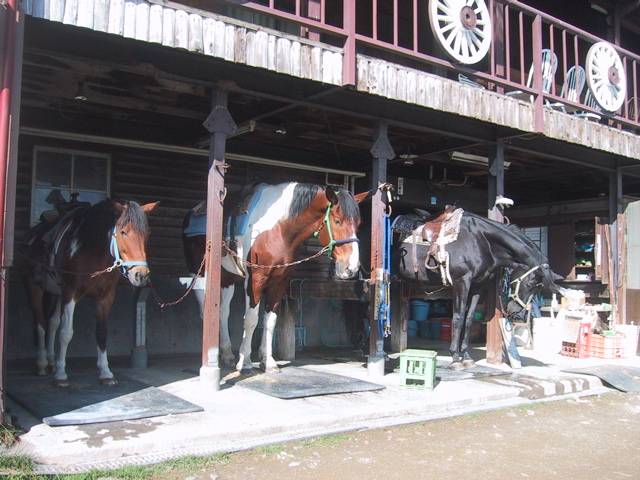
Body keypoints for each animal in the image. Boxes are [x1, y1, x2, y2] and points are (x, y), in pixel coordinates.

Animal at [22, 198, 159, 386]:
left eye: (147, 234)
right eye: (123, 232)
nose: (141, 274)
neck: (90, 249)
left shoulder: (105, 296)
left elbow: (101, 332)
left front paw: (106, 373)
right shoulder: (70, 293)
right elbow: (65, 333)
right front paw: (61, 375)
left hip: (56, 293)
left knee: (52, 323)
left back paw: (51, 362)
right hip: (34, 288)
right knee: (41, 324)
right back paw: (42, 364)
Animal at [182, 182, 368, 374]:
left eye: (358, 224)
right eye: (337, 221)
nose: (351, 267)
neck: (278, 228)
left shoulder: (279, 281)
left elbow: (270, 321)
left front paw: (268, 361)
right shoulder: (255, 280)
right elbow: (251, 320)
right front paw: (245, 362)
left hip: (227, 278)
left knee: (223, 312)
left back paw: (226, 354)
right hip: (198, 274)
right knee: (205, 312)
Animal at [398, 207, 564, 372]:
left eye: (539, 289)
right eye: (530, 284)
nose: (514, 310)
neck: (481, 240)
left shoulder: (478, 286)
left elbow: (469, 319)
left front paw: (467, 357)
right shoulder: (462, 282)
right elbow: (458, 318)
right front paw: (455, 359)